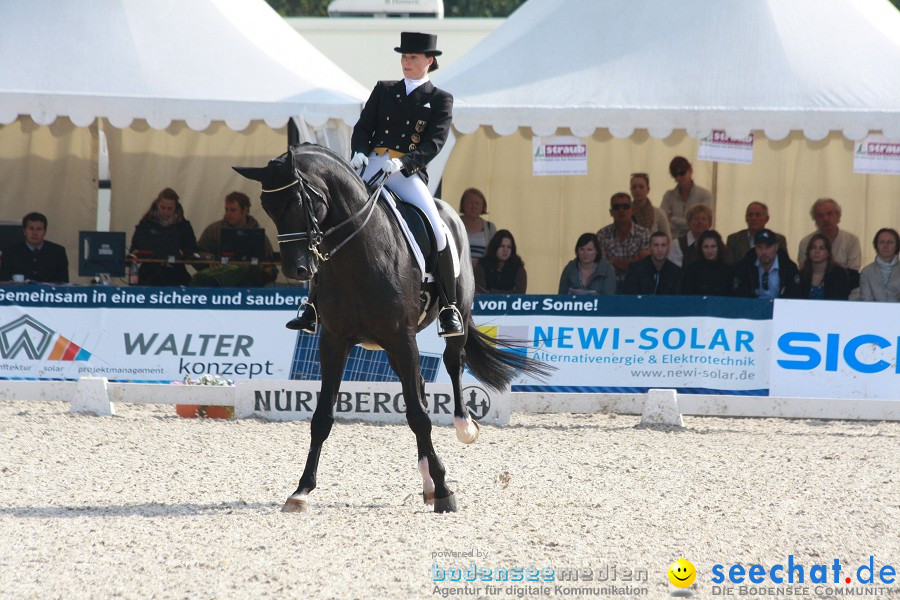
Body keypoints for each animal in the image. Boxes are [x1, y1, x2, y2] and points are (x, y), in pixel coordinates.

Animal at [236, 138, 548, 512]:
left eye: (297, 200)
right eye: (266, 206)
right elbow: (323, 417)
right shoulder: (334, 340)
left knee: (453, 363)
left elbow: (418, 416)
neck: (357, 257)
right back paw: (428, 481)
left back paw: (463, 428)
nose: (297, 270)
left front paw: (445, 492)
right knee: (420, 385)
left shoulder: (401, 337)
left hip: (445, 320)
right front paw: (301, 491)